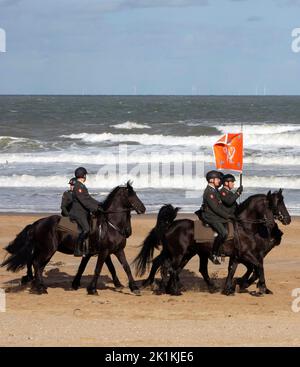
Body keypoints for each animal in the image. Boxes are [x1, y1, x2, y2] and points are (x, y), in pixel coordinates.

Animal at [0, 182, 146, 296]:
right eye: (131, 195)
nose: (143, 209)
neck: (111, 225)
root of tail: (36, 223)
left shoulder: (114, 251)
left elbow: (123, 267)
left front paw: (132, 287)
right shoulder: (104, 251)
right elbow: (98, 268)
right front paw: (92, 289)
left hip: (43, 250)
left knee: (36, 265)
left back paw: (39, 286)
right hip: (48, 250)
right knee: (36, 264)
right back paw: (40, 288)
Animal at [135, 191, 290, 298]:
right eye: (273, 205)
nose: (287, 220)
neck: (244, 227)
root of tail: (171, 225)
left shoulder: (236, 256)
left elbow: (233, 270)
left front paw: (229, 288)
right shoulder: (246, 255)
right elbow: (258, 267)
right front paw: (260, 288)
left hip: (186, 253)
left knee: (170, 267)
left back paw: (167, 288)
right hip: (179, 254)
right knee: (170, 268)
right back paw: (174, 290)